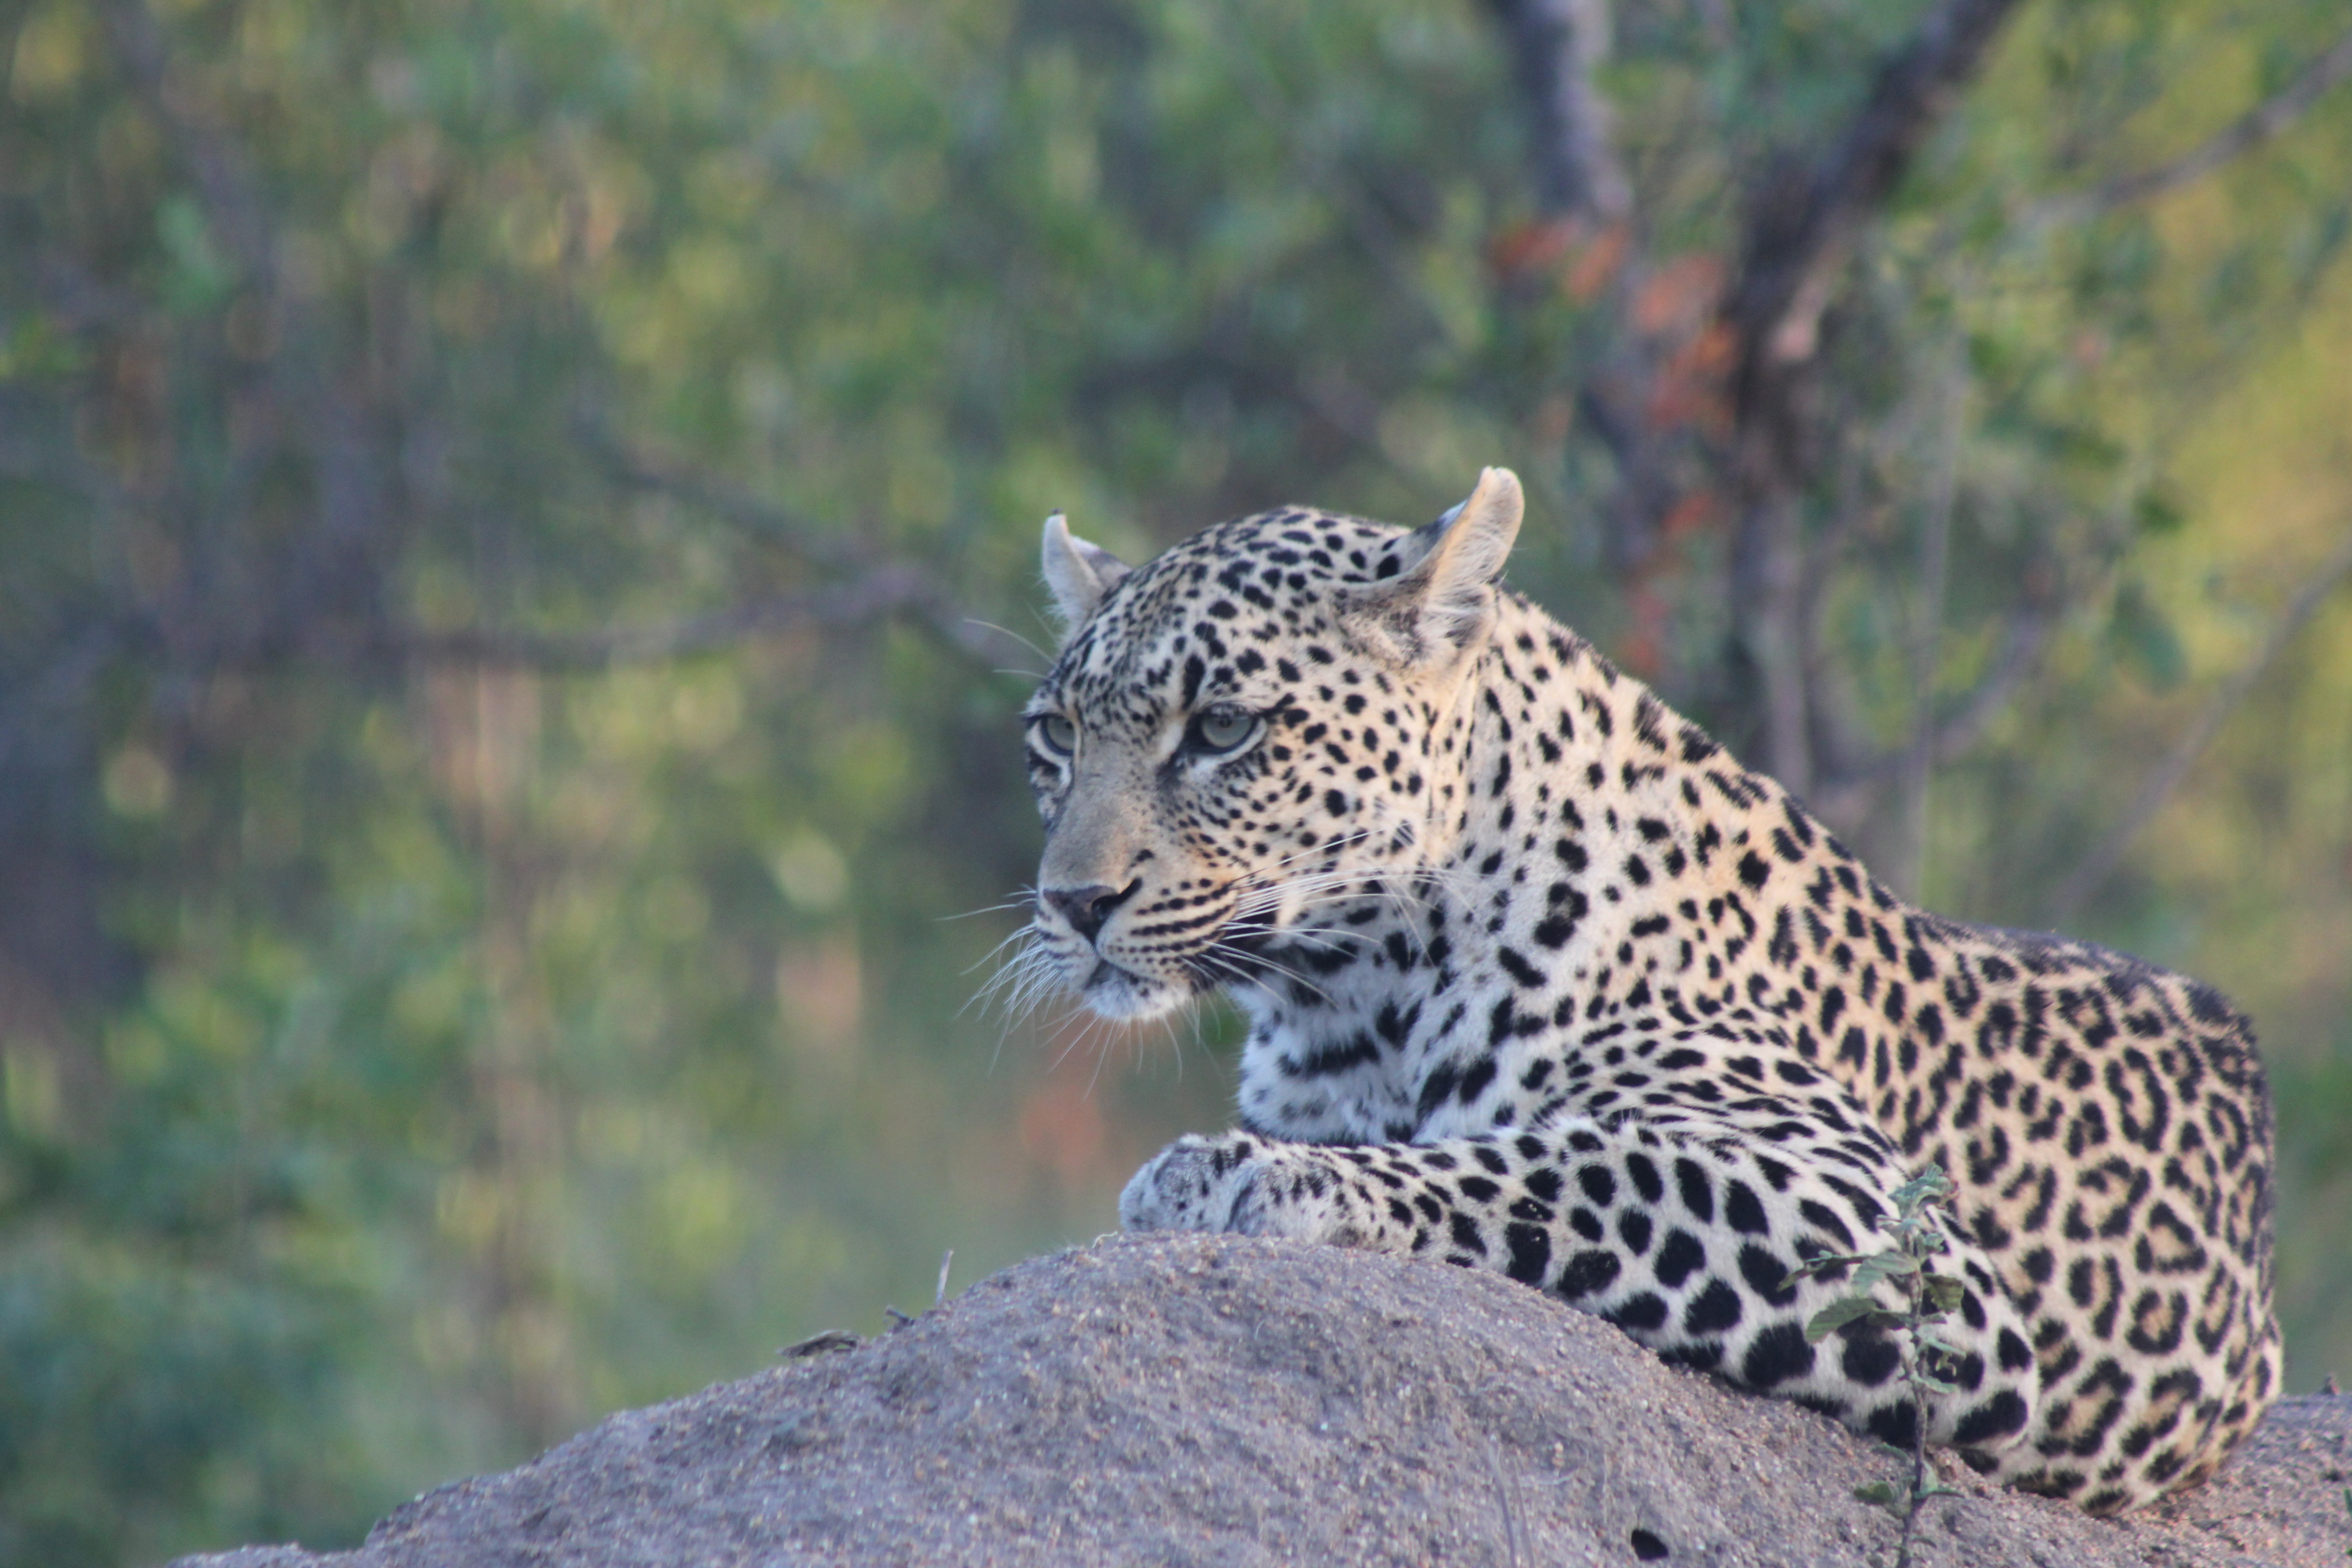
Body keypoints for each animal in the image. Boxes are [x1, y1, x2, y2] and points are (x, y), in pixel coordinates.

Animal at [1014, 466, 2280, 1514]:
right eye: (1055, 738)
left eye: (1223, 727)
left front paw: (1249, 1173)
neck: (1347, 1001)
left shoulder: (1894, 1240)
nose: (1073, 901)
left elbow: (1568, 1162)